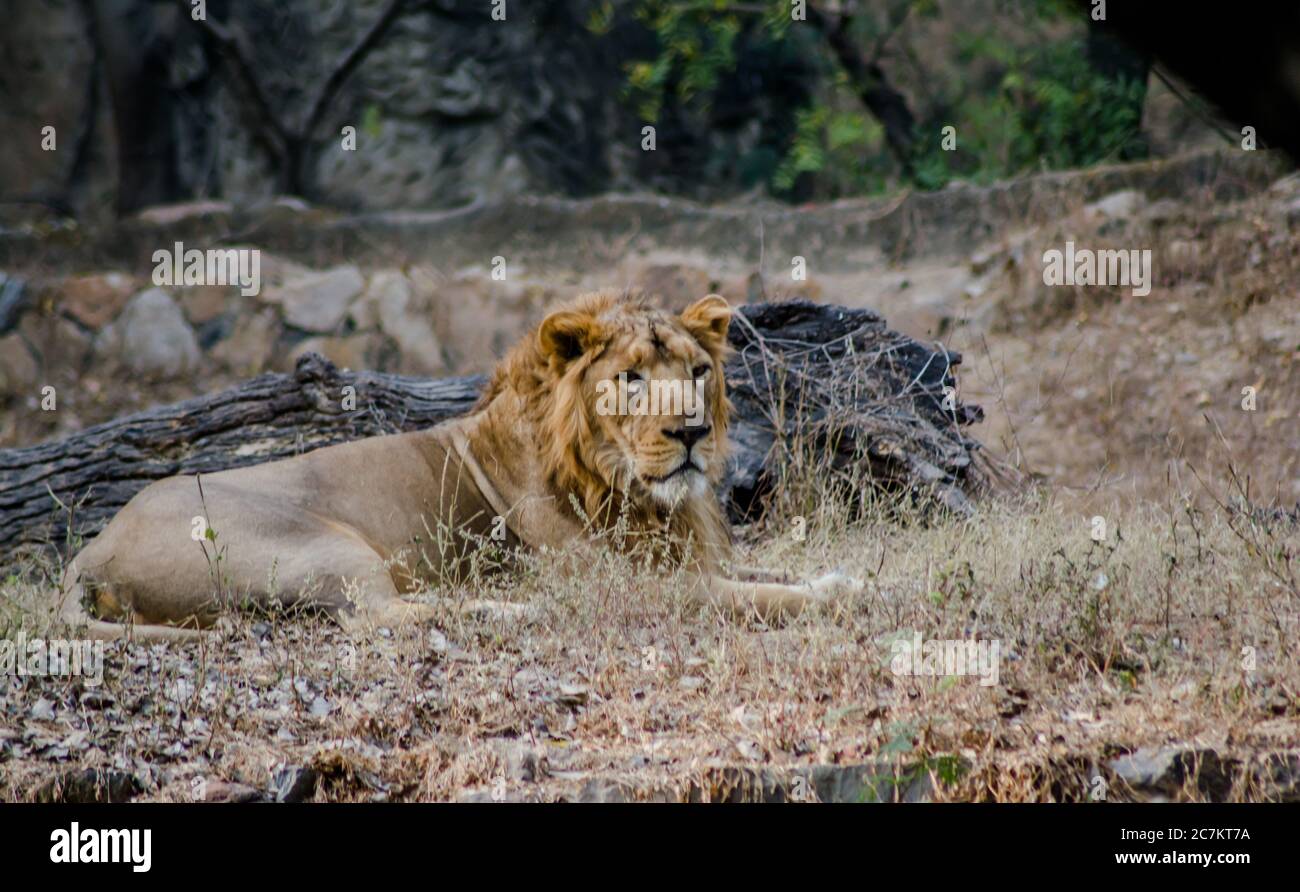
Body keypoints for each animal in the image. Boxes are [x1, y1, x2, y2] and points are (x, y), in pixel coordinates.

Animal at [58, 293, 863, 642]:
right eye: (631, 379)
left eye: (698, 371)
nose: (691, 430)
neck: (635, 492)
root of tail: (91, 551)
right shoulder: (637, 588)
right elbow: (760, 596)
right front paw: (839, 595)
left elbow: (769, 572)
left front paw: (840, 576)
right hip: (321, 546)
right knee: (379, 618)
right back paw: (520, 610)